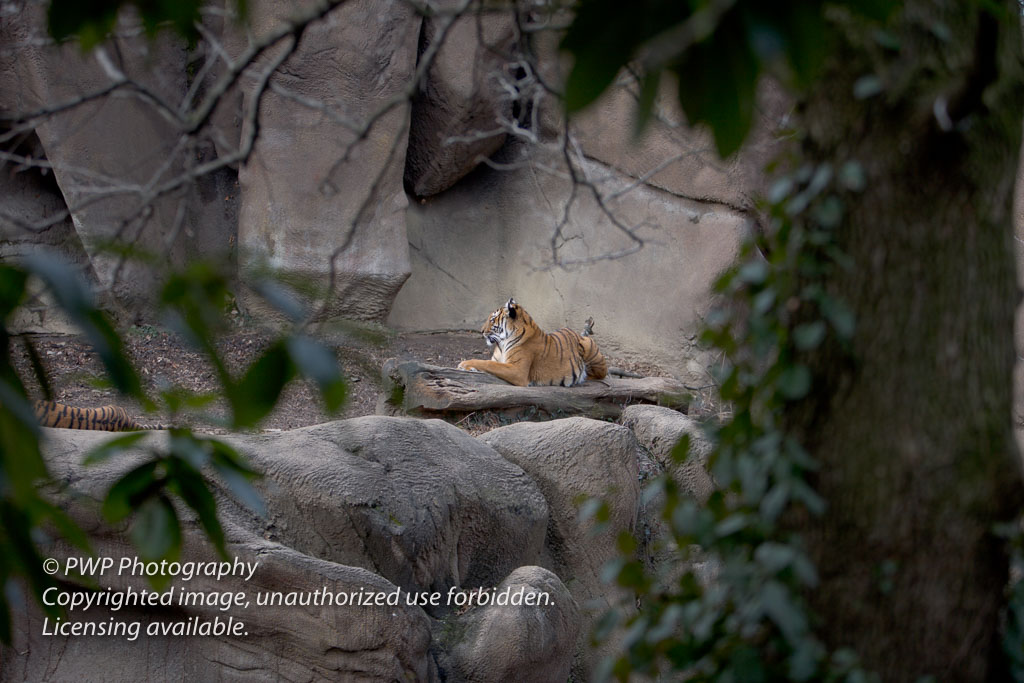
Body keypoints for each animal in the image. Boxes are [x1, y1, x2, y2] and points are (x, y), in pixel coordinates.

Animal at [458, 296, 606, 387]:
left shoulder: (518, 370)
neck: (502, 343)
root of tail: (577, 333)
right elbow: (488, 363)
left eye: (492, 320)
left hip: (590, 348)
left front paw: (464, 364)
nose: (481, 331)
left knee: (600, 374)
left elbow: (489, 364)